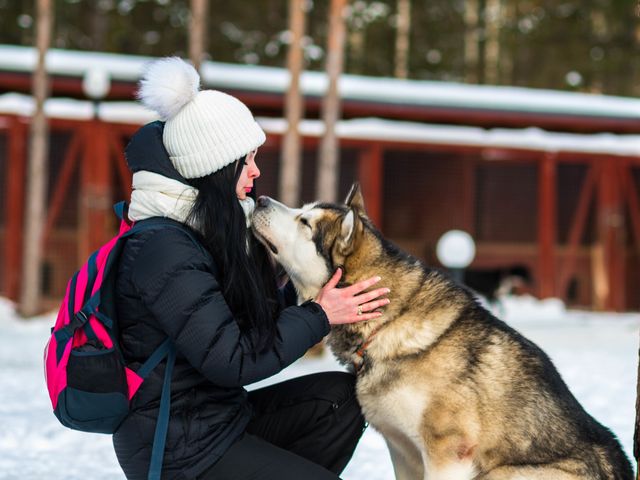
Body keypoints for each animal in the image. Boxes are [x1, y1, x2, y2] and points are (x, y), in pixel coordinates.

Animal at [249, 185, 632, 480]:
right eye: (302, 211)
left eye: (304, 222)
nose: (261, 197)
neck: (389, 321)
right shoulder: (402, 451)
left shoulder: (447, 453)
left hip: (500, 473)